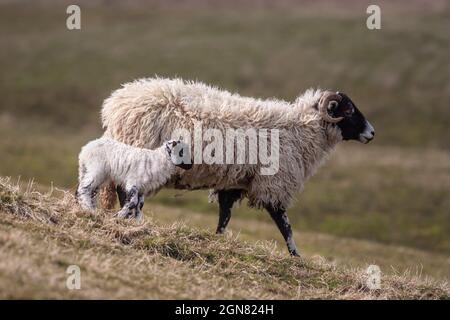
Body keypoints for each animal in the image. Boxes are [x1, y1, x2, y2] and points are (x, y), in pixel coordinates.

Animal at [99, 77, 376, 255]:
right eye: (349, 110)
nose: (372, 133)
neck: (302, 130)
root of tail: (116, 105)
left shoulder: (233, 183)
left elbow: (225, 216)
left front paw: (218, 241)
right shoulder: (274, 183)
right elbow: (284, 223)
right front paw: (296, 256)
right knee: (126, 191)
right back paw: (130, 219)